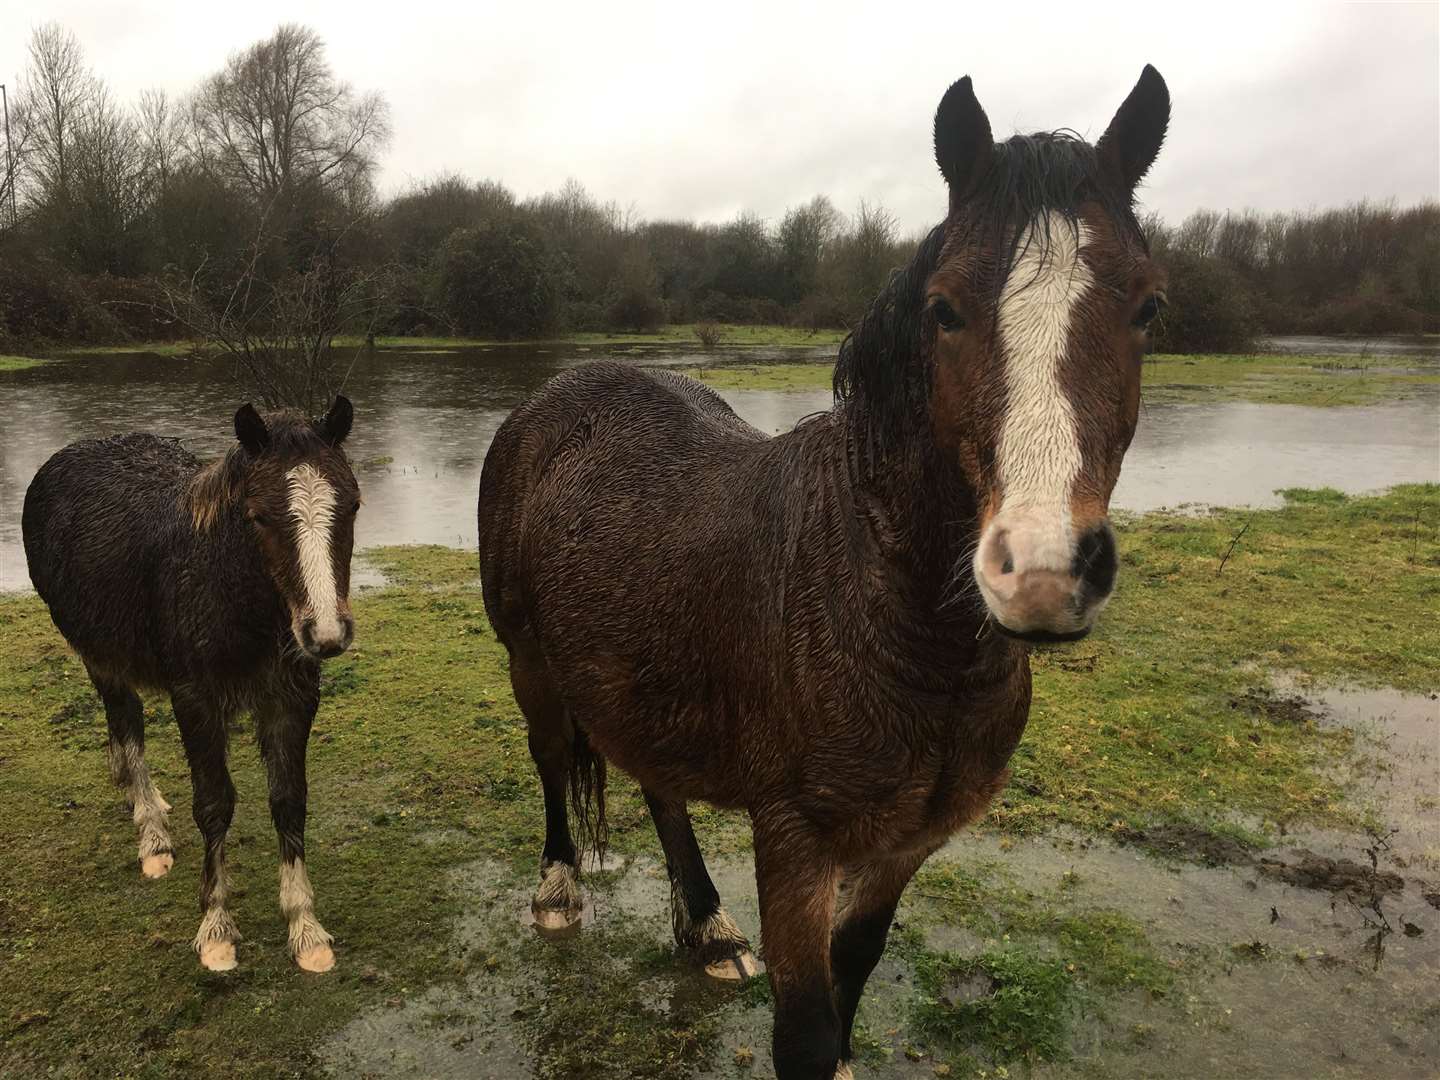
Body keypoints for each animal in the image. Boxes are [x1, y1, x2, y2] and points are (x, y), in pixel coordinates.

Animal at [23, 397, 360, 973]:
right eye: (259, 516)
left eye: (353, 507)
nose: (326, 634)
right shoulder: (195, 700)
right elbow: (214, 804)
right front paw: (217, 927)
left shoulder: (291, 698)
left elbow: (288, 799)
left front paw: (305, 927)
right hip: (100, 657)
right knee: (126, 727)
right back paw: (152, 836)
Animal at [480, 69, 1169, 1080]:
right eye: (945, 309)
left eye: (1147, 308)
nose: (1041, 570)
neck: (890, 613)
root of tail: (553, 400)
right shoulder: (797, 841)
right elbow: (803, 1026)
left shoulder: (904, 844)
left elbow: (857, 963)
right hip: (529, 661)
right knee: (547, 758)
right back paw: (561, 892)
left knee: (659, 784)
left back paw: (709, 929)